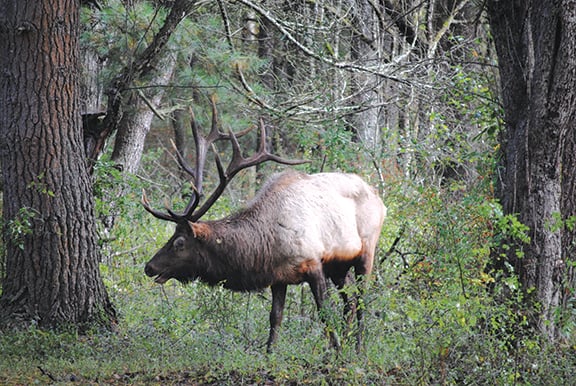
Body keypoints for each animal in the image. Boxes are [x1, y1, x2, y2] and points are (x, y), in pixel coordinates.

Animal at [143, 100, 388, 352]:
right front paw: (270, 354)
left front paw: (335, 353)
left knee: (361, 300)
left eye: (180, 242)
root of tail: (378, 196)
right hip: (339, 265)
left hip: (366, 250)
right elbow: (275, 318)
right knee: (350, 301)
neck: (265, 245)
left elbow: (324, 314)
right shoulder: (279, 276)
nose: (149, 267)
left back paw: (358, 349)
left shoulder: (313, 263)